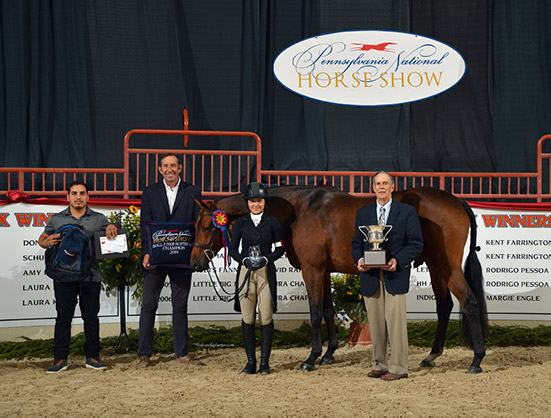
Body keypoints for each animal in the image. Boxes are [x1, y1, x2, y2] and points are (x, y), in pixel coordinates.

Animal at [190, 185, 488, 372]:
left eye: (205, 226)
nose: (195, 262)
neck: (301, 209)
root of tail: (457, 201)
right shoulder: (322, 271)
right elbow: (327, 311)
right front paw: (329, 353)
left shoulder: (312, 269)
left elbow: (314, 314)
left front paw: (311, 358)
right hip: (437, 268)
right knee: (444, 307)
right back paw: (431, 355)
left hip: (448, 268)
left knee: (470, 303)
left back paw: (476, 360)